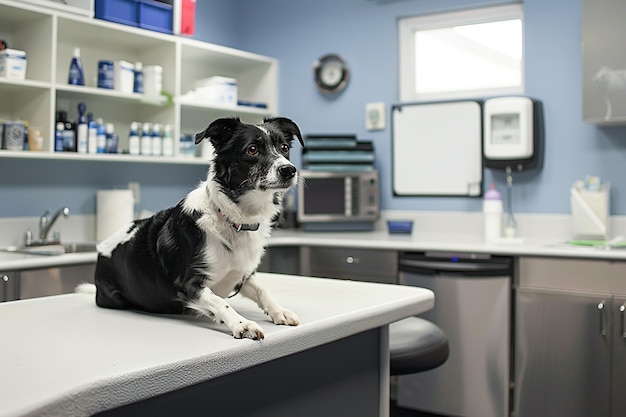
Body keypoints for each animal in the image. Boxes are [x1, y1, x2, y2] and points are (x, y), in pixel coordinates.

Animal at [84, 116, 304, 338]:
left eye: (284, 148)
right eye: (252, 149)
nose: (289, 170)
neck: (234, 218)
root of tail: (102, 248)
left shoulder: (241, 275)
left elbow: (262, 290)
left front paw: (279, 311)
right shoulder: (189, 284)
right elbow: (219, 302)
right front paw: (242, 324)